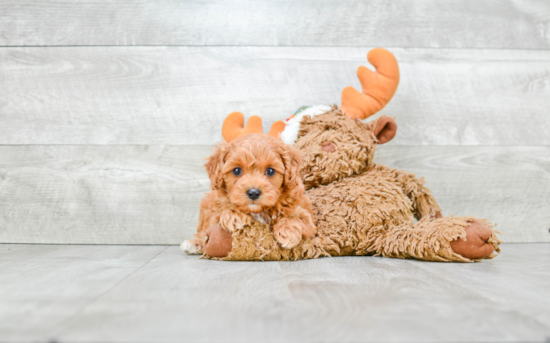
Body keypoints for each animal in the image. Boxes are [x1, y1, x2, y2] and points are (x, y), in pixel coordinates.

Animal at [182, 133, 316, 256]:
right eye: (236, 170)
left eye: (270, 171)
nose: (253, 193)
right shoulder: (216, 209)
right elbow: (221, 212)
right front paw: (234, 214)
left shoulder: (306, 215)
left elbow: (296, 217)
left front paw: (287, 232)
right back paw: (194, 243)